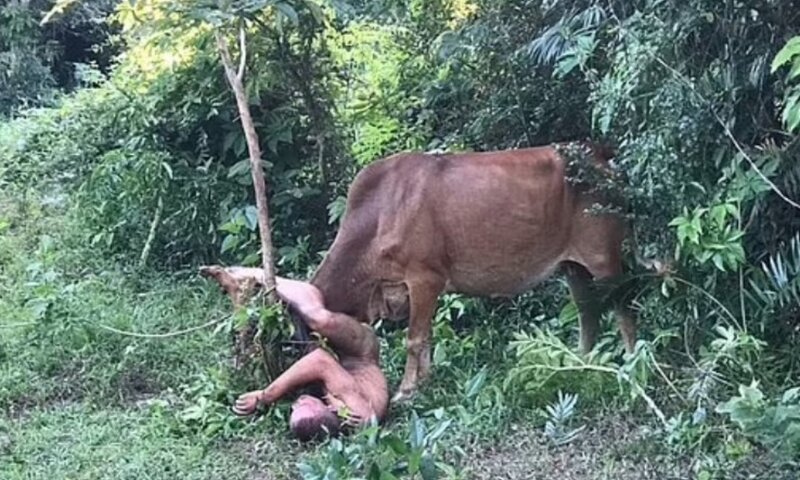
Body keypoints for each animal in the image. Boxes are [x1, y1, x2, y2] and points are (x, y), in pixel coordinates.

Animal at [308, 143, 636, 403]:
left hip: (603, 257)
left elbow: (414, 340)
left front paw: (406, 390)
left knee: (623, 307)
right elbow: (426, 337)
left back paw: (633, 362)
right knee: (587, 311)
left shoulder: (424, 278)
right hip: (572, 266)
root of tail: (603, 157)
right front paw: (425, 381)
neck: (377, 218)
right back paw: (581, 361)